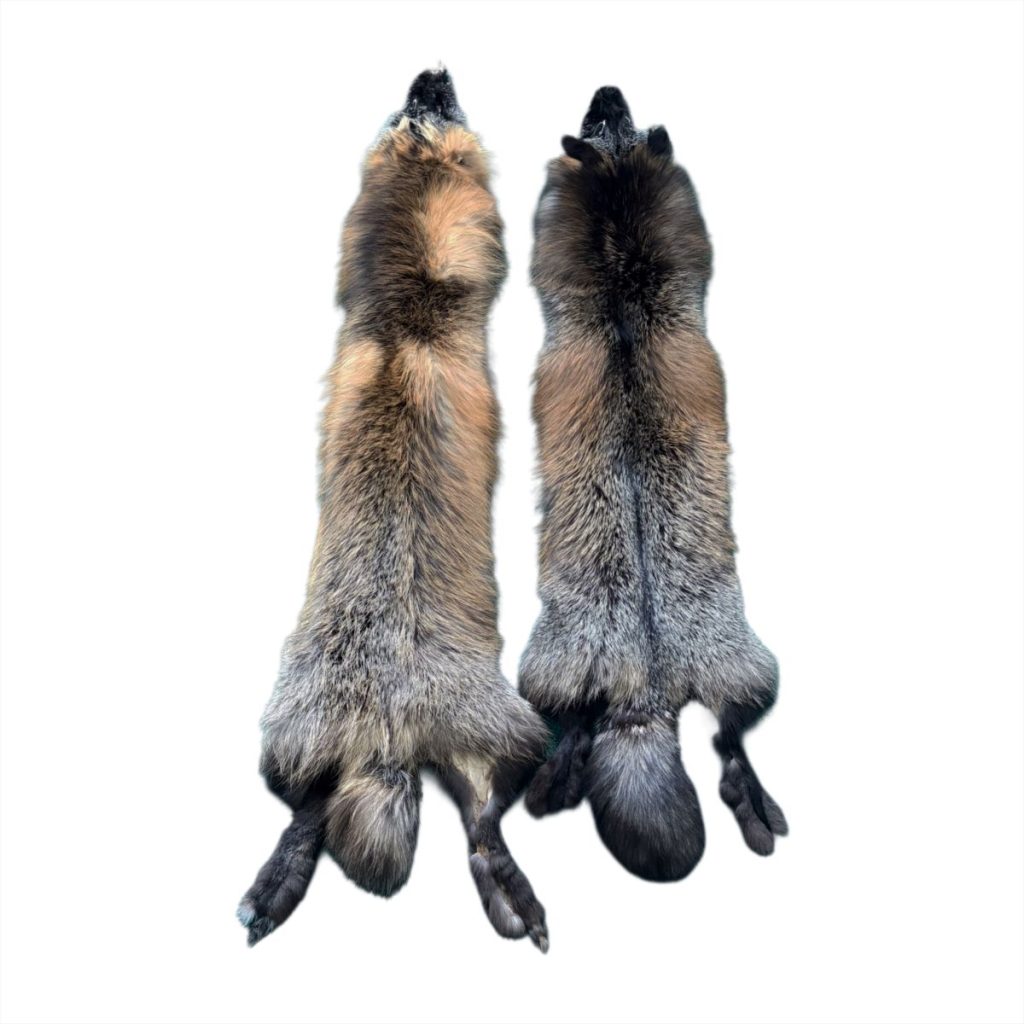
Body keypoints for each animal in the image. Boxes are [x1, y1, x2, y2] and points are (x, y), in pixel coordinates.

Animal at [237, 68, 549, 951]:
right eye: (417, 112)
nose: (431, 73)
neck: (408, 318)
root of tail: (387, 735)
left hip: (289, 739)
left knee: (310, 810)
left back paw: (273, 888)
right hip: (516, 733)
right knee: (483, 823)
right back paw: (518, 900)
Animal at [519, 86, 787, 881]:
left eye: (615, 114)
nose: (607, 88)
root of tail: (649, 685)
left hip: (664, 667)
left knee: (699, 733)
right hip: (725, 666)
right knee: (720, 735)